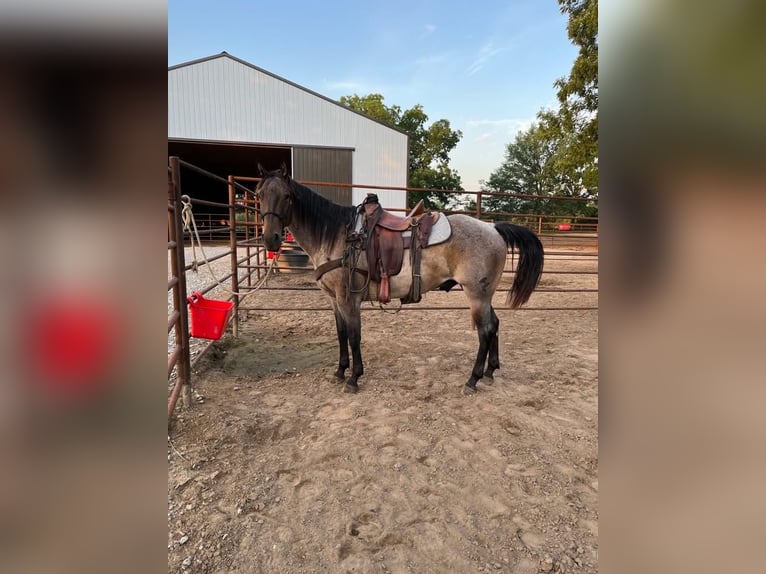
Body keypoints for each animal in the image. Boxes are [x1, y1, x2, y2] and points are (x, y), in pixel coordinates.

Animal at [258, 163, 544, 396]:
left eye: (286, 197)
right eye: (259, 195)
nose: (270, 239)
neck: (338, 236)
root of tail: (493, 228)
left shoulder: (349, 299)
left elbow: (354, 336)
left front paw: (354, 378)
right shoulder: (334, 299)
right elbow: (341, 334)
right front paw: (340, 372)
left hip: (476, 294)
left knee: (485, 331)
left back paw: (472, 380)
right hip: (485, 295)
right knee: (494, 325)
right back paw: (489, 372)